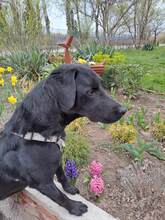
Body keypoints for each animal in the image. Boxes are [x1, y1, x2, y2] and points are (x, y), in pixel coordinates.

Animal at [0, 64, 126, 216]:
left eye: (101, 86)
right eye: (91, 92)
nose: (124, 110)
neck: (36, 133)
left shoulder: (57, 158)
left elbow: (62, 175)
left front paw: (69, 188)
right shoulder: (43, 183)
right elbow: (60, 197)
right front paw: (75, 207)